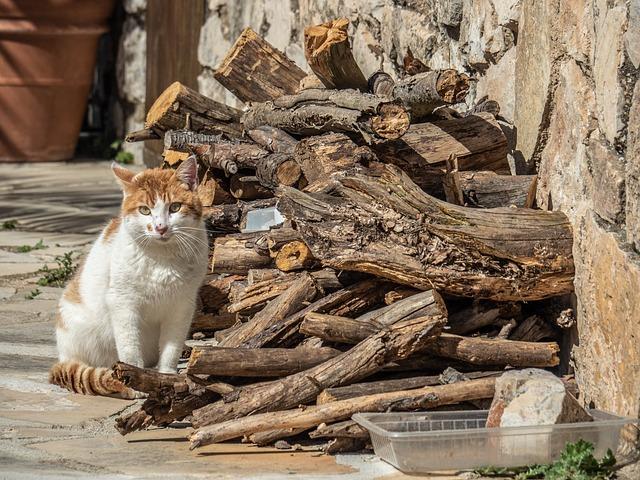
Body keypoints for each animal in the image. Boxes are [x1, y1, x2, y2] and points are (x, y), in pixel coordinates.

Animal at [52, 159, 210, 400]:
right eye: (144, 210)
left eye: (175, 207)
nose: (160, 227)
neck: (162, 259)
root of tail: (63, 356)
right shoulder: (123, 303)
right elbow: (129, 347)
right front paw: (135, 381)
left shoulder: (182, 306)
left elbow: (171, 347)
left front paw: (167, 376)